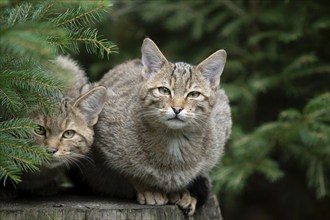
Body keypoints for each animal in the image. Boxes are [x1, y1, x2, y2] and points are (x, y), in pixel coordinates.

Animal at [81, 37, 232, 215]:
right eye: (164, 90)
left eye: (194, 94)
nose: (177, 108)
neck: (173, 139)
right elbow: (127, 171)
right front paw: (148, 188)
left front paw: (182, 191)